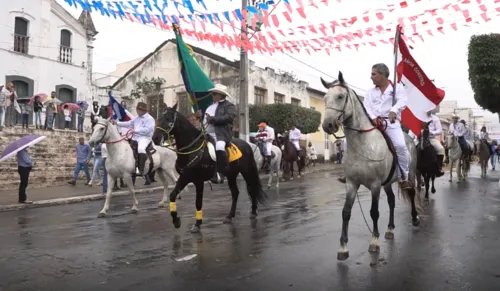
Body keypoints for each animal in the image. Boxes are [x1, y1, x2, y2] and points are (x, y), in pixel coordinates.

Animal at [152, 104, 268, 234]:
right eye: (159, 118)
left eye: (168, 119)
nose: (155, 138)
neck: (192, 148)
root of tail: (248, 144)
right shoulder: (185, 177)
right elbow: (173, 195)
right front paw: (176, 221)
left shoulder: (198, 181)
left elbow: (198, 202)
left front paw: (197, 224)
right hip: (231, 175)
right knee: (235, 193)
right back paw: (229, 216)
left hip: (247, 172)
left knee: (252, 189)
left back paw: (253, 212)